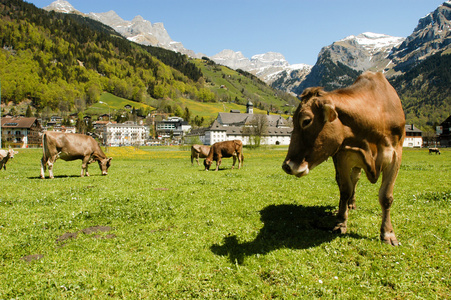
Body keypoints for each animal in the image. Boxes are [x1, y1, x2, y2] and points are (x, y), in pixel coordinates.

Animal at [282, 72, 406, 246]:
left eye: (306, 121)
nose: (287, 166)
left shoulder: (395, 156)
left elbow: (386, 197)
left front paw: (388, 234)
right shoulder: (342, 156)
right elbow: (345, 189)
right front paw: (341, 222)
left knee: (356, 178)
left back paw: (351, 204)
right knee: (345, 182)